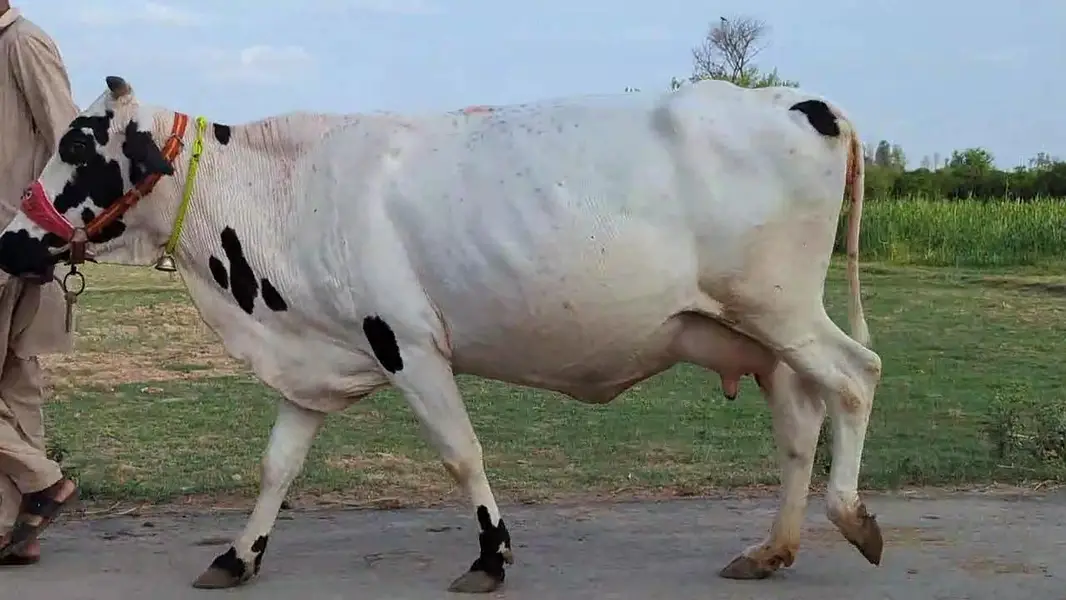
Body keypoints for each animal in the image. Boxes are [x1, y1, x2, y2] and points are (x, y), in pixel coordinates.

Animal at [0, 75, 883, 592]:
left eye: (77, 146)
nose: (11, 240)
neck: (279, 191)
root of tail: (805, 101)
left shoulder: (409, 344)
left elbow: (462, 453)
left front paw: (491, 557)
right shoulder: (315, 355)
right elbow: (278, 463)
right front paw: (237, 555)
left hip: (780, 308)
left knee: (856, 375)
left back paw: (850, 516)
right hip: (760, 334)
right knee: (800, 421)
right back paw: (772, 549)